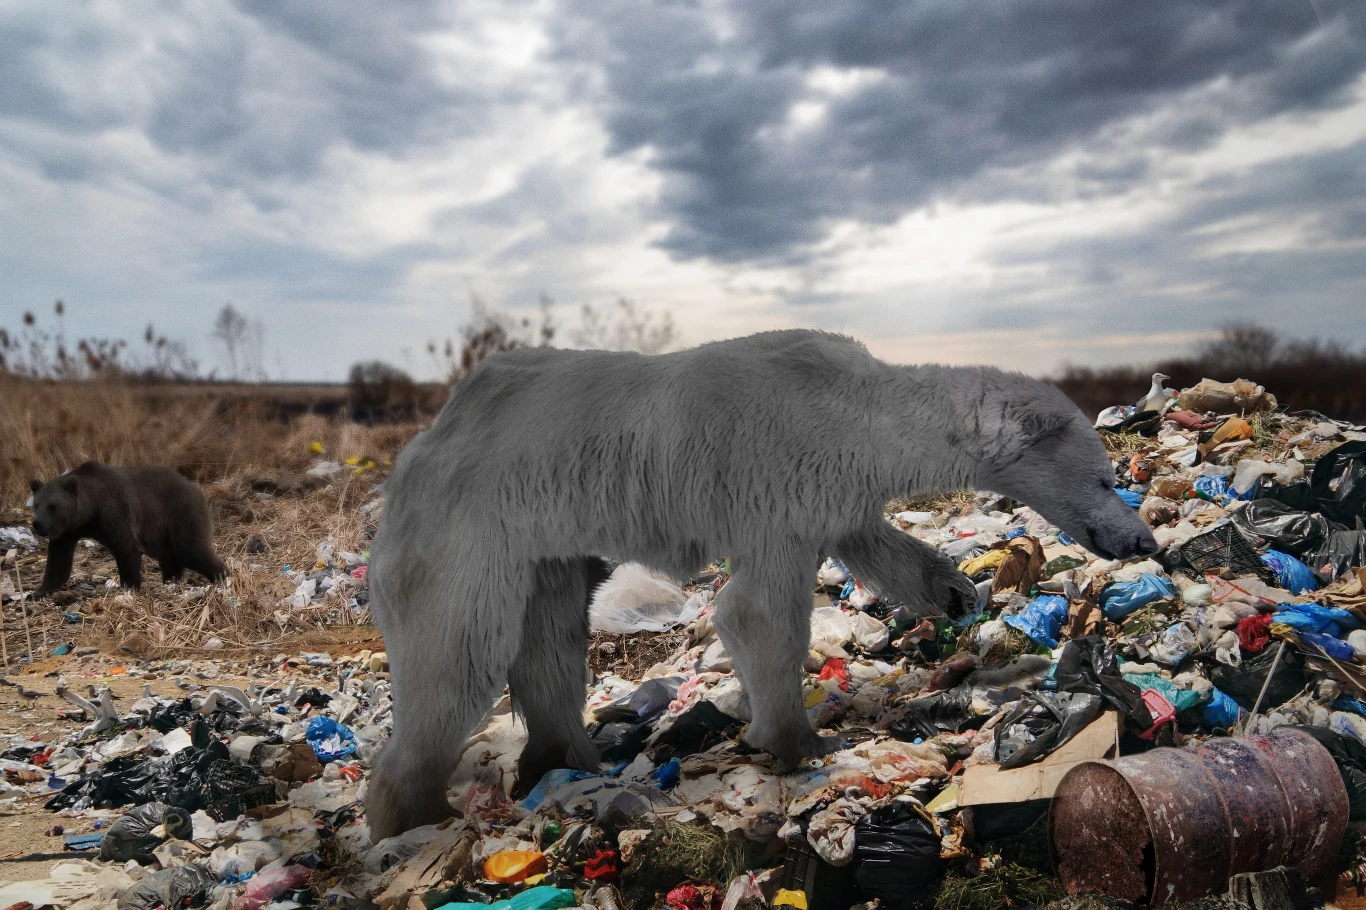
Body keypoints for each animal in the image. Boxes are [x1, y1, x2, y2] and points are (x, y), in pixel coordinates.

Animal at [29, 462, 227, 596]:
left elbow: (126, 548)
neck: (90, 511)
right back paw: (171, 581)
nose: (37, 523)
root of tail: (196, 489)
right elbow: (58, 560)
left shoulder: (115, 510)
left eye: (53, 506)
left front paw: (129, 587)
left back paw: (222, 576)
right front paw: (38, 592)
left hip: (180, 512)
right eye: (36, 504)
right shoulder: (67, 531)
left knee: (191, 549)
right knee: (171, 557)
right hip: (161, 532)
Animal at [365, 329, 1159, 838]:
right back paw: (413, 815)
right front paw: (800, 740)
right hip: (473, 528)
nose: (1141, 539)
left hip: (542, 542)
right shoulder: (777, 472)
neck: (861, 404)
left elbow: (869, 539)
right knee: (458, 653)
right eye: (1103, 477)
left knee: (551, 639)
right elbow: (759, 612)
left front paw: (957, 591)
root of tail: (421, 445)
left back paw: (566, 760)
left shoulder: (831, 484)